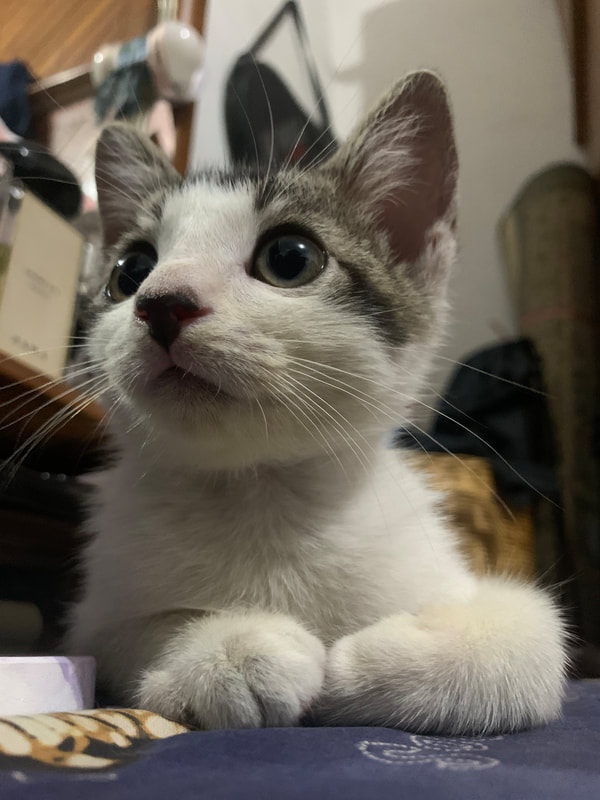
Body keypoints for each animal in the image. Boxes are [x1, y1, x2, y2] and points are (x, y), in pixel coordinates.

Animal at [66, 71, 567, 735]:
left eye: (289, 258)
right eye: (130, 269)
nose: (161, 301)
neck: (262, 493)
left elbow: (531, 643)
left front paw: (361, 663)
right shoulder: (93, 617)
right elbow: (125, 634)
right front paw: (229, 647)